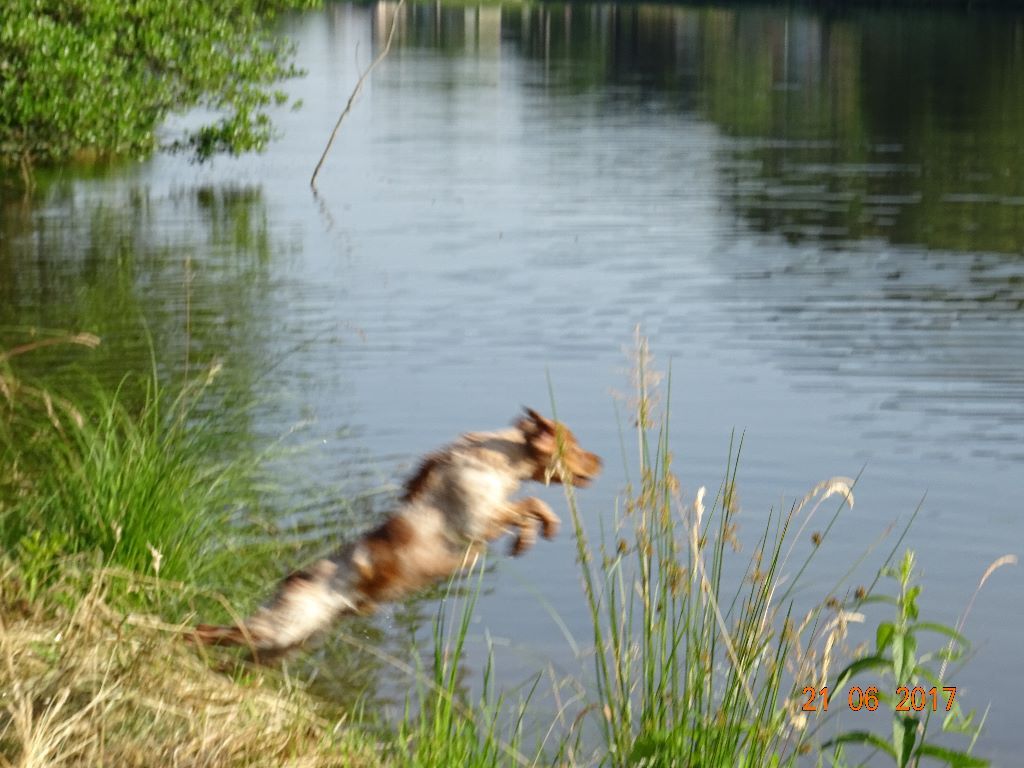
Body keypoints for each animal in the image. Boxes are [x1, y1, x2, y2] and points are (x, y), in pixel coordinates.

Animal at [192, 409, 598, 655]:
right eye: (576, 447)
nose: (601, 461)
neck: (492, 463)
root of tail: (295, 578)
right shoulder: (481, 520)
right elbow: (531, 505)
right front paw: (535, 533)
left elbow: (530, 507)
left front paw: (534, 534)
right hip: (282, 627)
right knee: (213, 630)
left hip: (292, 640)